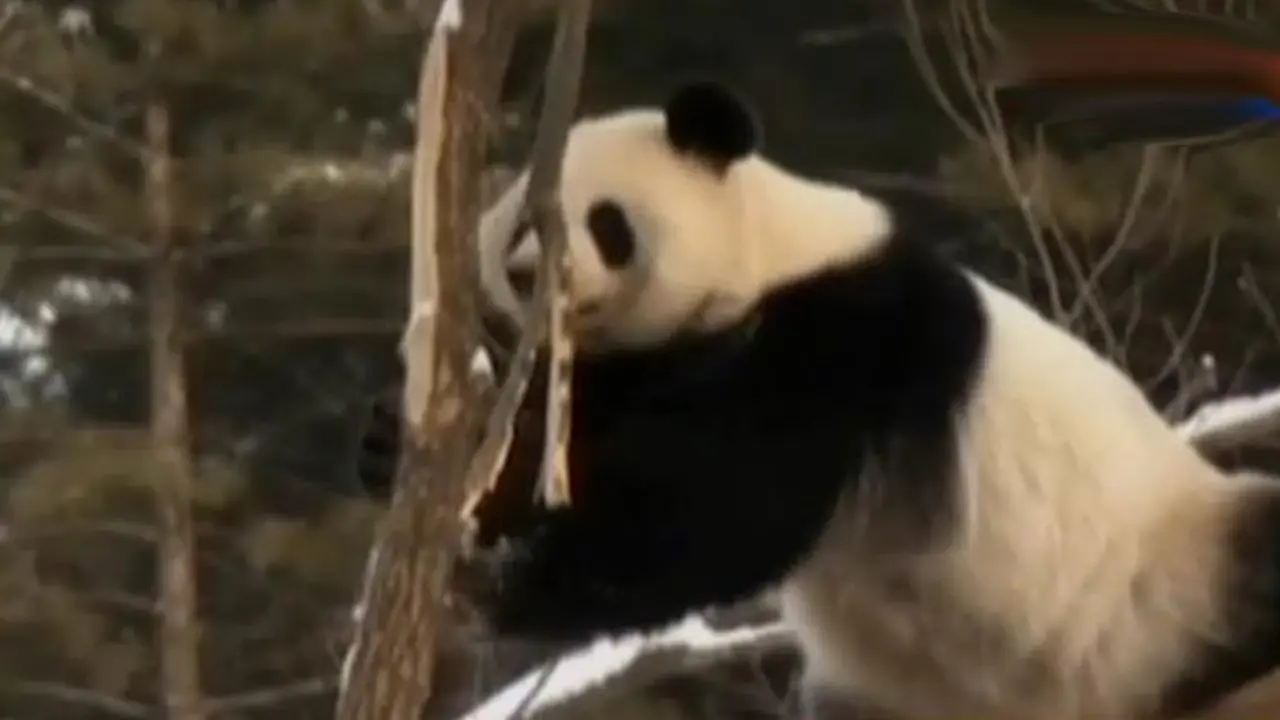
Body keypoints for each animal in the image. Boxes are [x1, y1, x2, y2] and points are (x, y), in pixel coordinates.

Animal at [356, 81, 1280, 720]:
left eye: (605, 221)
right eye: (520, 221)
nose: (522, 274)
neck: (761, 262)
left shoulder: (842, 339)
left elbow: (728, 512)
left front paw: (515, 583)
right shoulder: (643, 364)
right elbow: (573, 447)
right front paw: (402, 449)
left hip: (1173, 577)